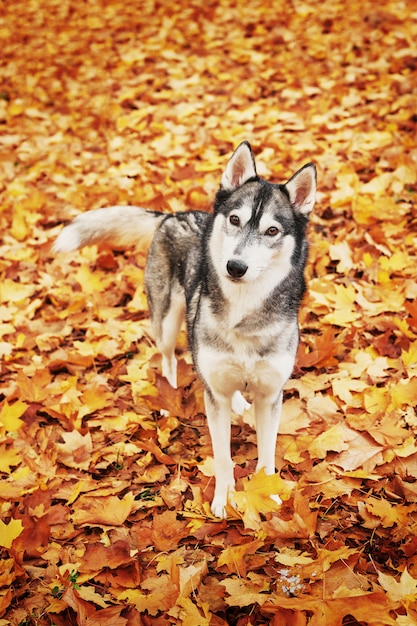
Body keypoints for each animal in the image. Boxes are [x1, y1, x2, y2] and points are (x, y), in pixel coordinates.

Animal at [54, 143, 316, 516]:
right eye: (235, 219)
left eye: (272, 231)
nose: (235, 267)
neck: (243, 312)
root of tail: (174, 215)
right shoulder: (215, 399)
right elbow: (222, 458)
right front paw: (223, 501)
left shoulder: (270, 397)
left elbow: (266, 459)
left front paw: (270, 496)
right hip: (166, 323)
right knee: (168, 359)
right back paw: (170, 395)